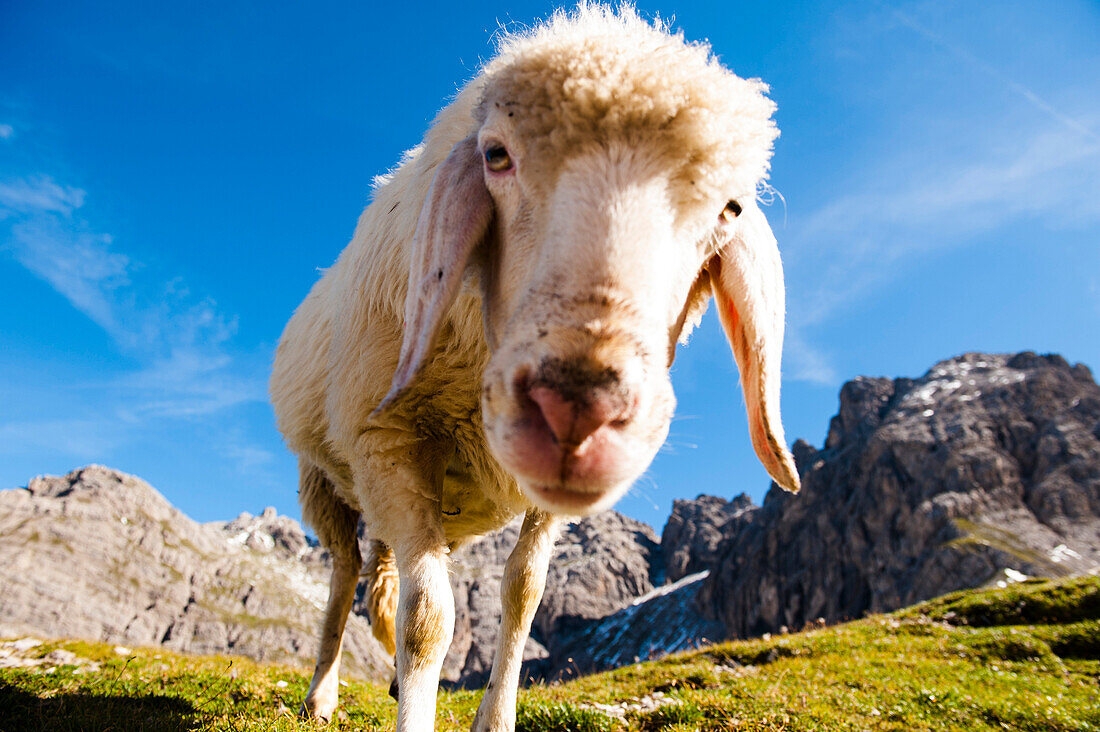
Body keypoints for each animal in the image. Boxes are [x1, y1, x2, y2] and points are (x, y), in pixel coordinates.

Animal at [266, 5, 800, 730]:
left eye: (731, 208)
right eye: (496, 155)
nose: (576, 407)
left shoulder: (543, 503)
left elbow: (522, 592)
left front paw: (493, 715)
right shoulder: (387, 438)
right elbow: (427, 616)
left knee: (380, 575)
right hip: (325, 480)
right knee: (347, 574)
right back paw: (321, 695)